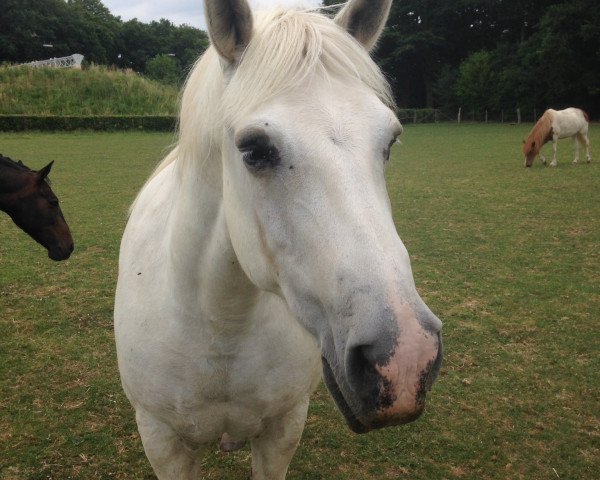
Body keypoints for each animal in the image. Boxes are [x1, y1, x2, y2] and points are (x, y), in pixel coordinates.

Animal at [115, 1, 442, 478]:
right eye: (254, 150)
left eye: (390, 142)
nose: (405, 359)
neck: (222, 324)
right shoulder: (163, 441)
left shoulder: (283, 427)